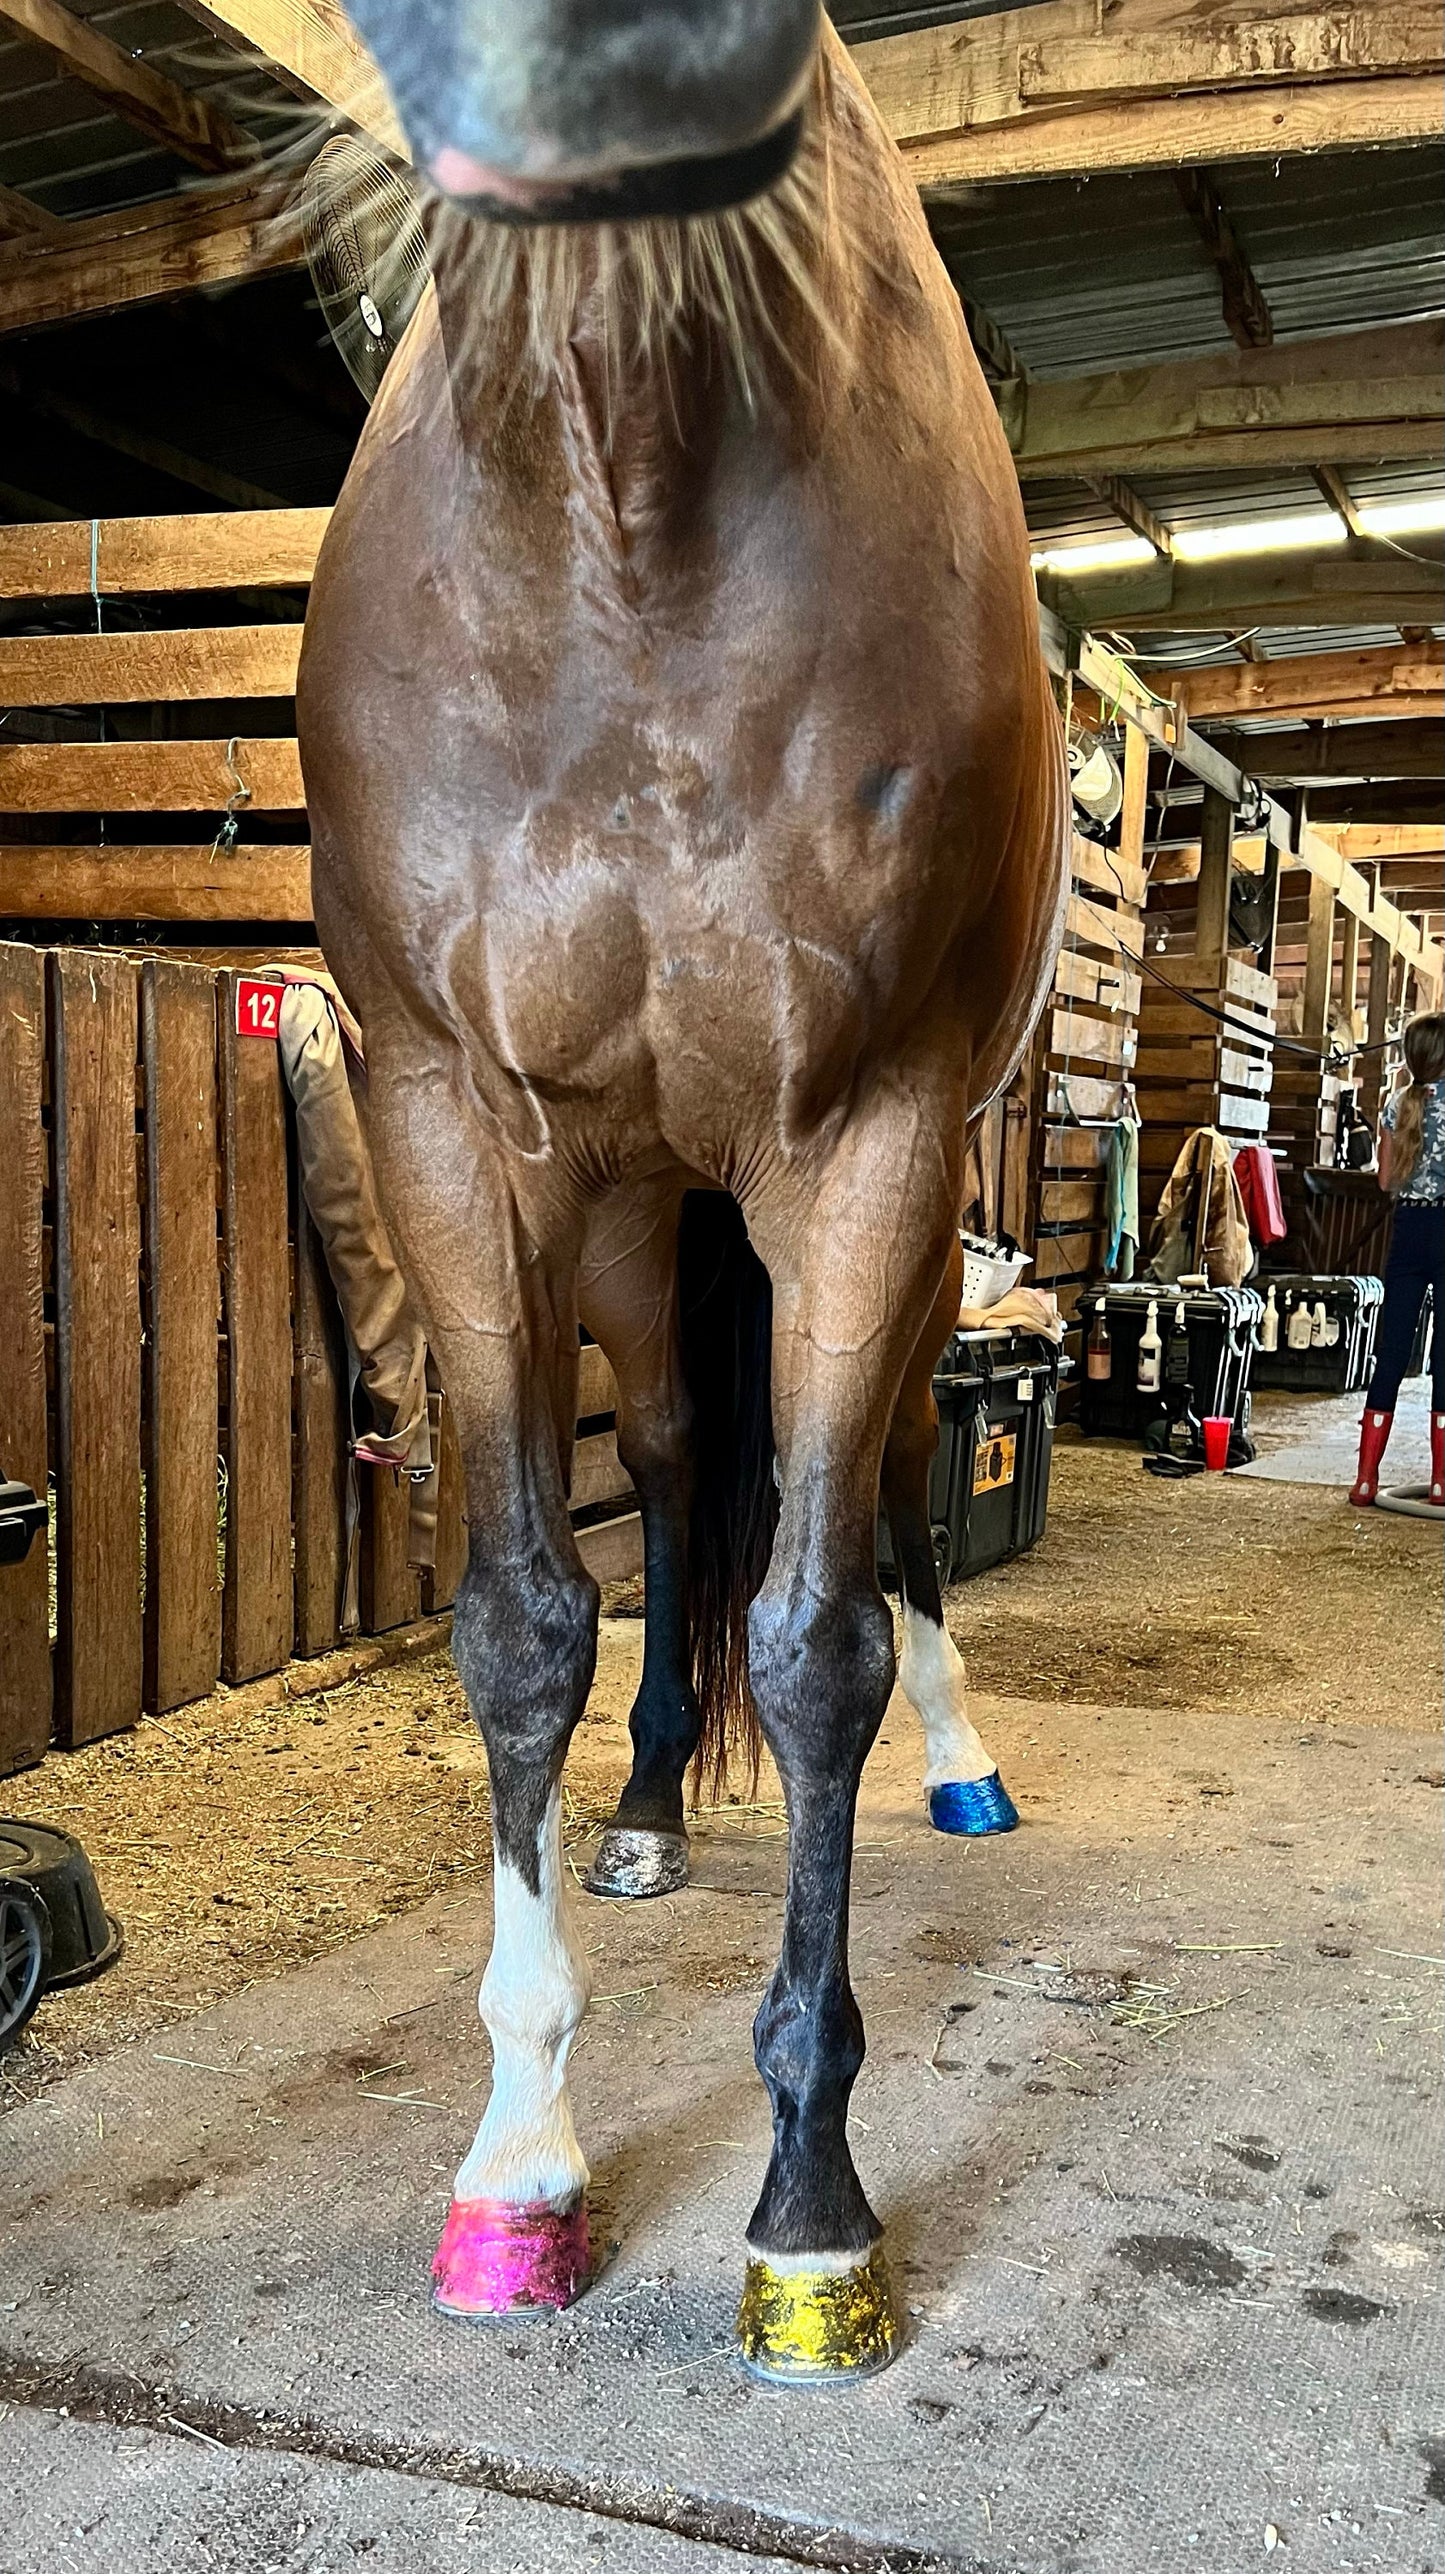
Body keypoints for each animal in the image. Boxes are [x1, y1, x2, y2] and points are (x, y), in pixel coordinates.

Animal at [297, 0, 1068, 2382]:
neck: (625, 525)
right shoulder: (453, 1121)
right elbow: (526, 1616)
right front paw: (520, 2164)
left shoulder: (865, 1142)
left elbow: (817, 1639)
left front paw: (810, 2210)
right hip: (640, 1212)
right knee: (660, 1462)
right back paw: (641, 1809)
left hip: (878, 1229)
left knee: (891, 1505)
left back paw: (963, 1762)